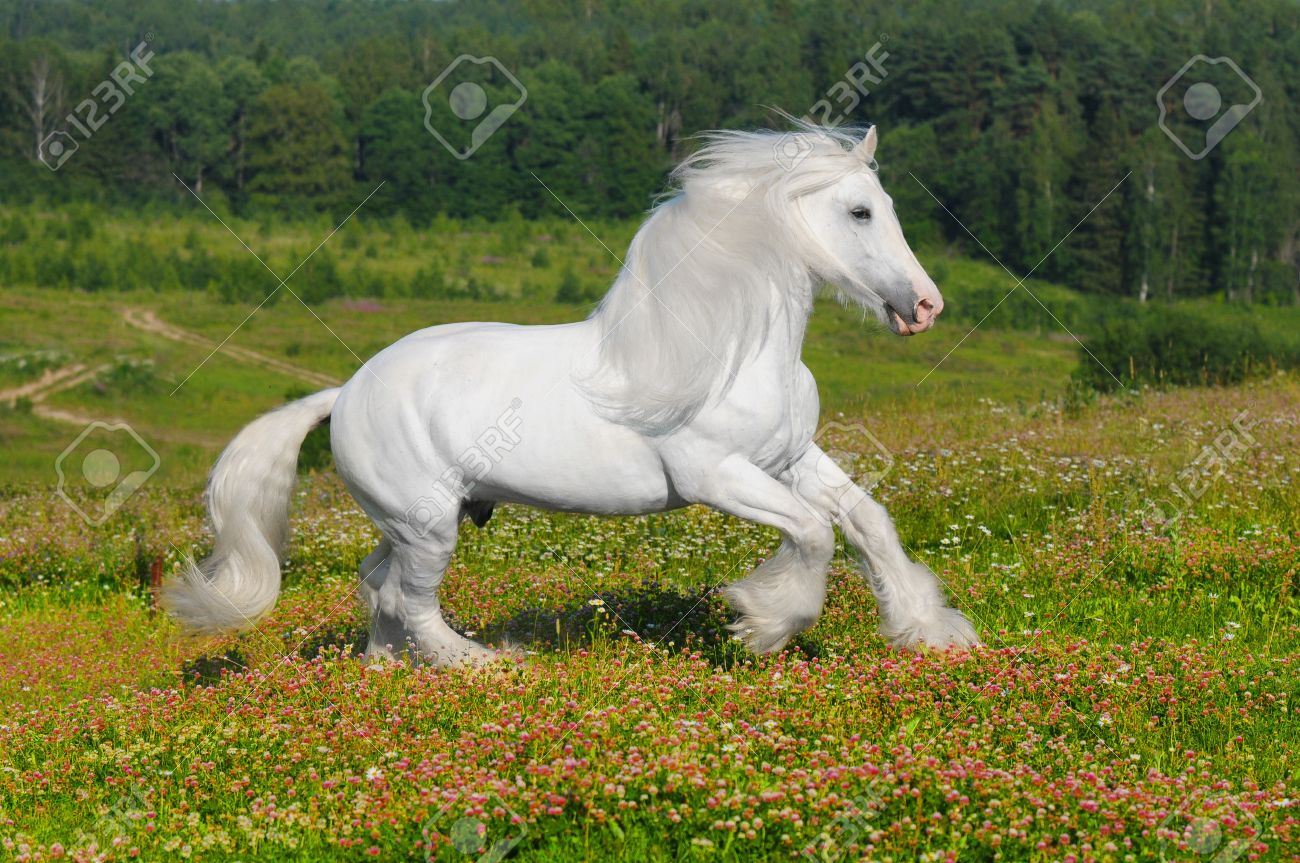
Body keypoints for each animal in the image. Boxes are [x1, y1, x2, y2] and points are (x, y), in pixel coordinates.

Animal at [163, 124, 980, 666]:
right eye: (859, 212)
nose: (925, 306)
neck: (729, 349)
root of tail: (343, 393)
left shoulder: (788, 458)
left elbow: (867, 521)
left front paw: (932, 632)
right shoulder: (716, 476)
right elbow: (812, 533)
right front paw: (761, 622)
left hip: (410, 520)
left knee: (375, 585)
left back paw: (386, 668)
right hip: (428, 525)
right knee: (409, 599)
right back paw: (481, 665)